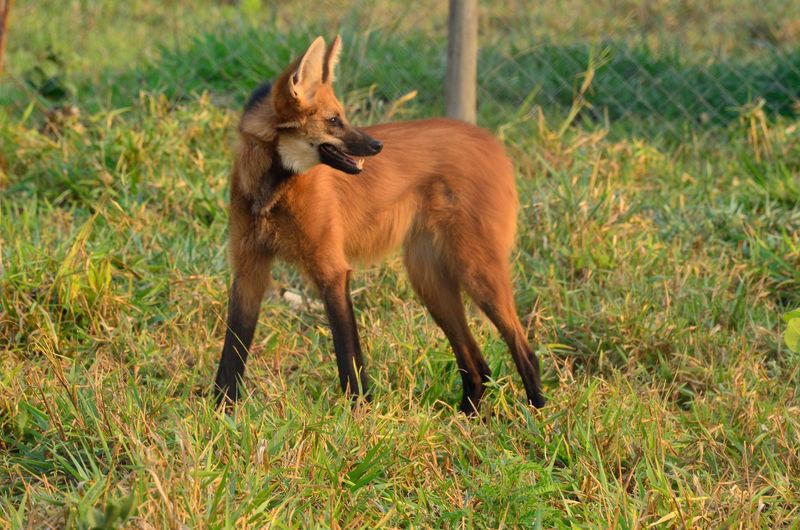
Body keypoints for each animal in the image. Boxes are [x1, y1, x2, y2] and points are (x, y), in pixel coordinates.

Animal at [212, 35, 544, 412]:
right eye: (334, 120)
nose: (377, 145)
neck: (272, 190)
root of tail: (492, 140)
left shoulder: (332, 270)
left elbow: (348, 357)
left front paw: (356, 412)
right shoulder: (248, 269)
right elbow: (232, 353)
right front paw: (221, 411)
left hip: (474, 270)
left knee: (524, 350)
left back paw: (536, 415)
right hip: (430, 281)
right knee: (477, 364)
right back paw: (468, 417)